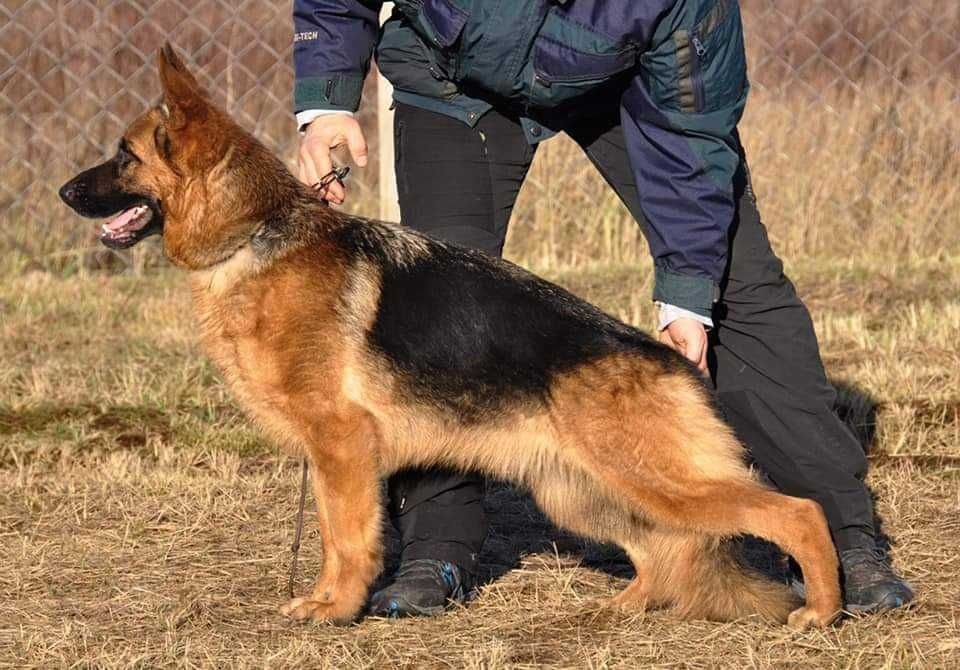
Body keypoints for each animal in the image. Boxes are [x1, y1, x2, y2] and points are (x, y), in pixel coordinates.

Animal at [60, 46, 840, 632]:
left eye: (124, 156)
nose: (65, 193)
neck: (256, 234)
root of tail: (669, 360)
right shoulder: (337, 453)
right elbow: (337, 535)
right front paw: (329, 602)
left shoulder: (341, 444)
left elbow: (347, 538)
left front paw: (334, 610)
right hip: (580, 491)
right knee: (664, 549)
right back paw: (626, 606)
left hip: (654, 479)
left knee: (796, 512)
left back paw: (823, 608)